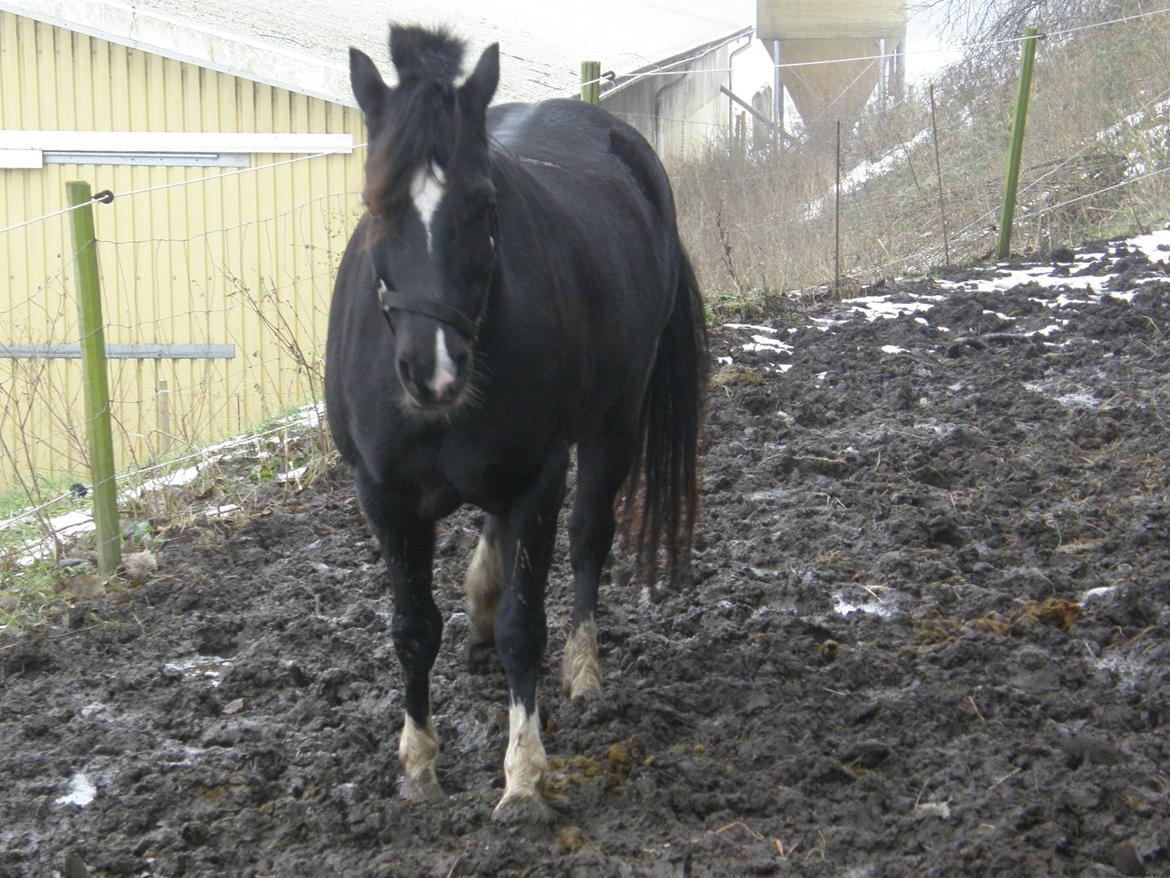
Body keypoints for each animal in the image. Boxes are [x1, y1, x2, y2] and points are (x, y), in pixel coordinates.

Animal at [325, 25, 702, 824]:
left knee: (590, 537)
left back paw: (584, 670)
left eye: (482, 202)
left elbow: (525, 631)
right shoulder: (384, 495)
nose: (432, 370)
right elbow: (413, 630)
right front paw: (419, 767)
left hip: (613, 426)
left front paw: (524, 776)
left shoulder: (538, 478)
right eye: (376, 203)